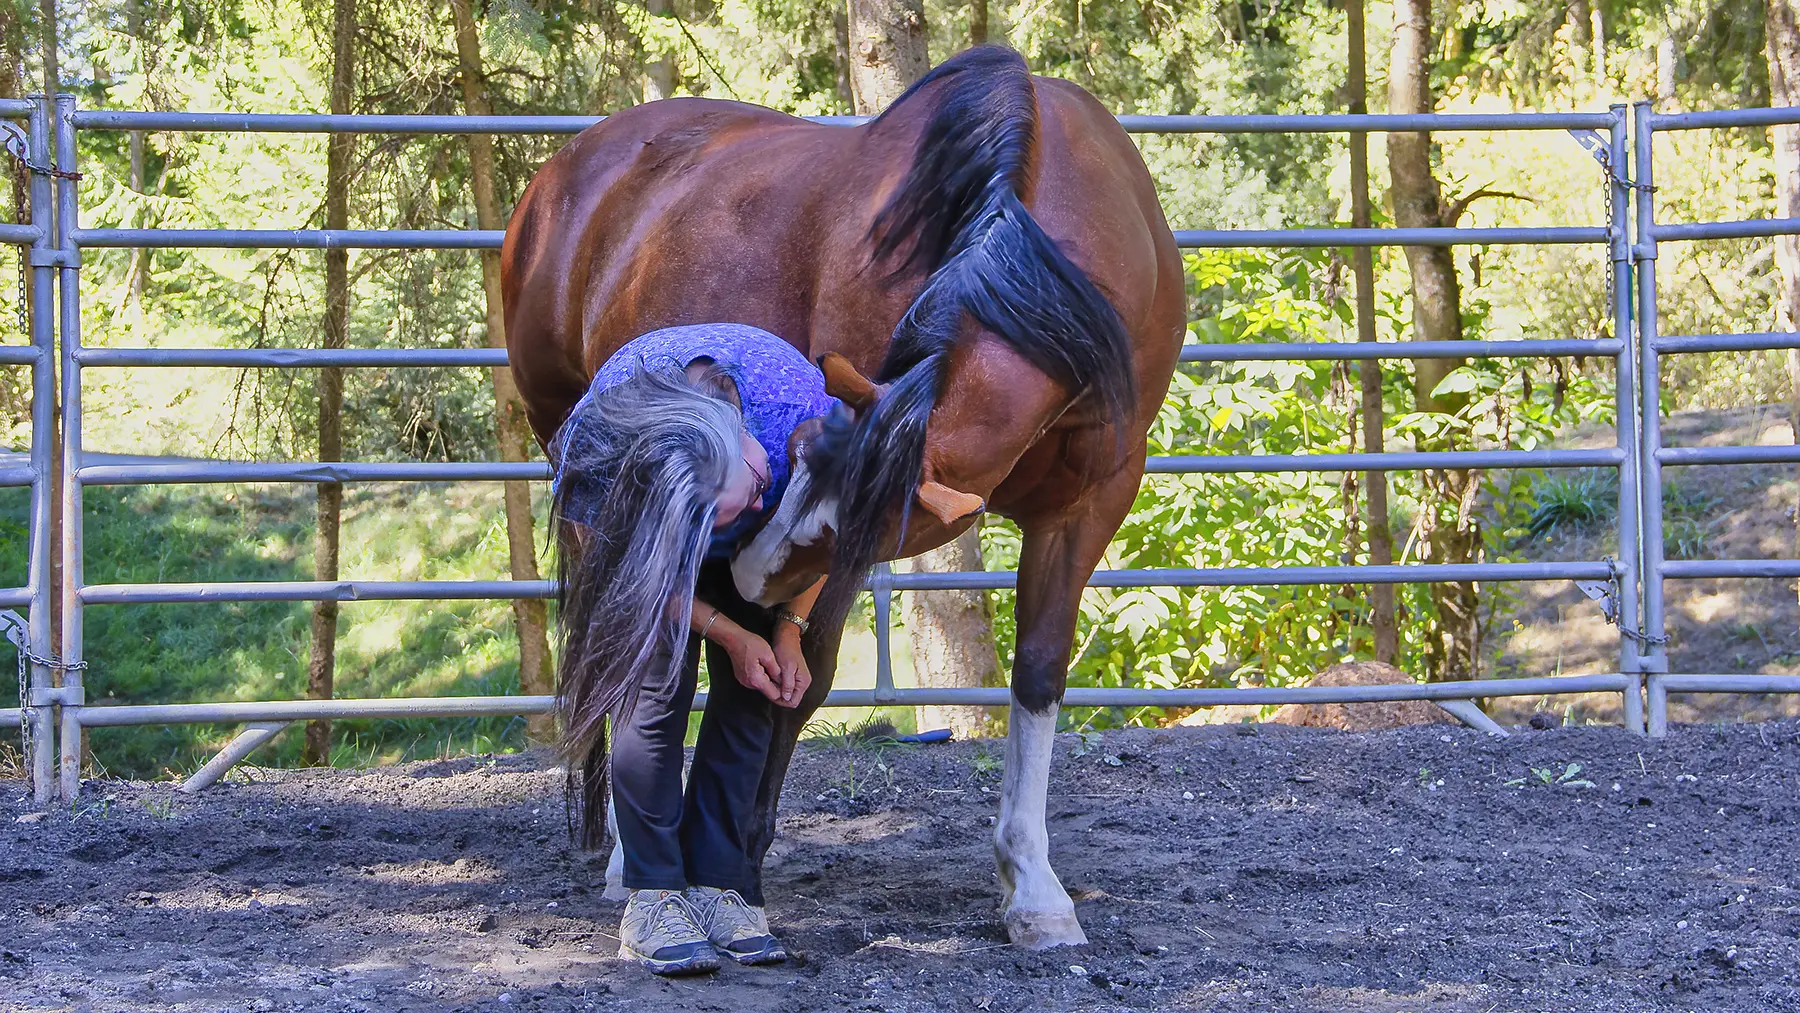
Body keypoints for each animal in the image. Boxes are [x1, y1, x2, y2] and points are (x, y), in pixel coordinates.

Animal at [504, 45, 1180, 950]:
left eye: (837, 519)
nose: (748, 577)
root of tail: (564, 173)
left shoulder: (1090, 504)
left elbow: (1038, 673)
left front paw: (1034, 888)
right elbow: (809, 672)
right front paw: (740, 860)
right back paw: (627, 860)